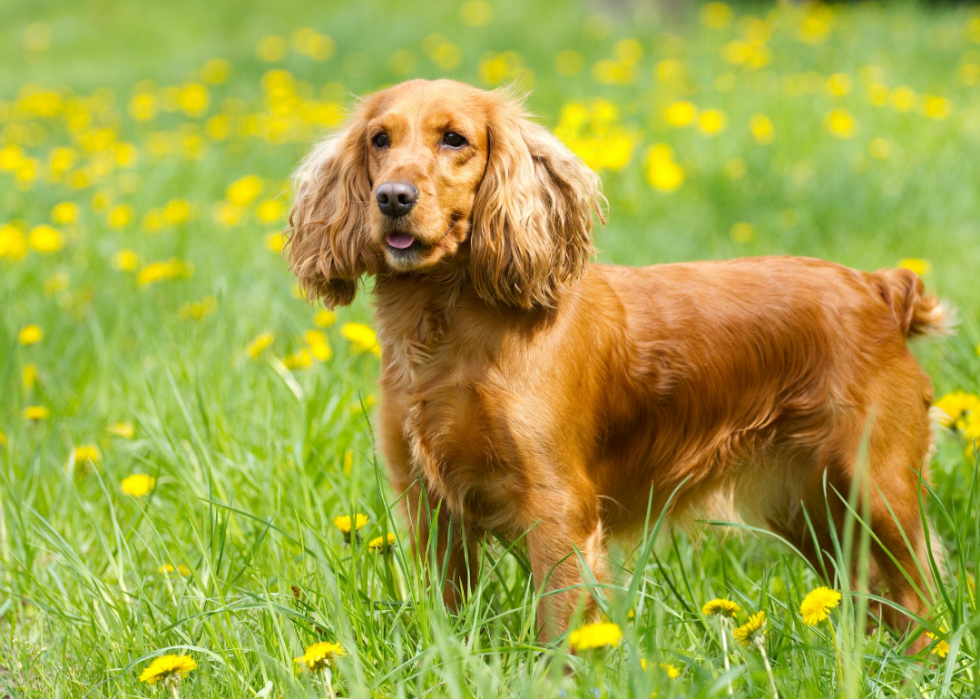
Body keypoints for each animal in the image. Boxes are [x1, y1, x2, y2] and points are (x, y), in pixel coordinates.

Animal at [288, 79, 952, 644]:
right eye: (380, 139)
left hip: (877, 489)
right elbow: (449, 620)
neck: (450, 330)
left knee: (918, 596)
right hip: (813, 509)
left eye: (455, 138)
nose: (392, 197)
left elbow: (561, 630)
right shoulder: (429, 506)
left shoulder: (557, 510)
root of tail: (879, 288)